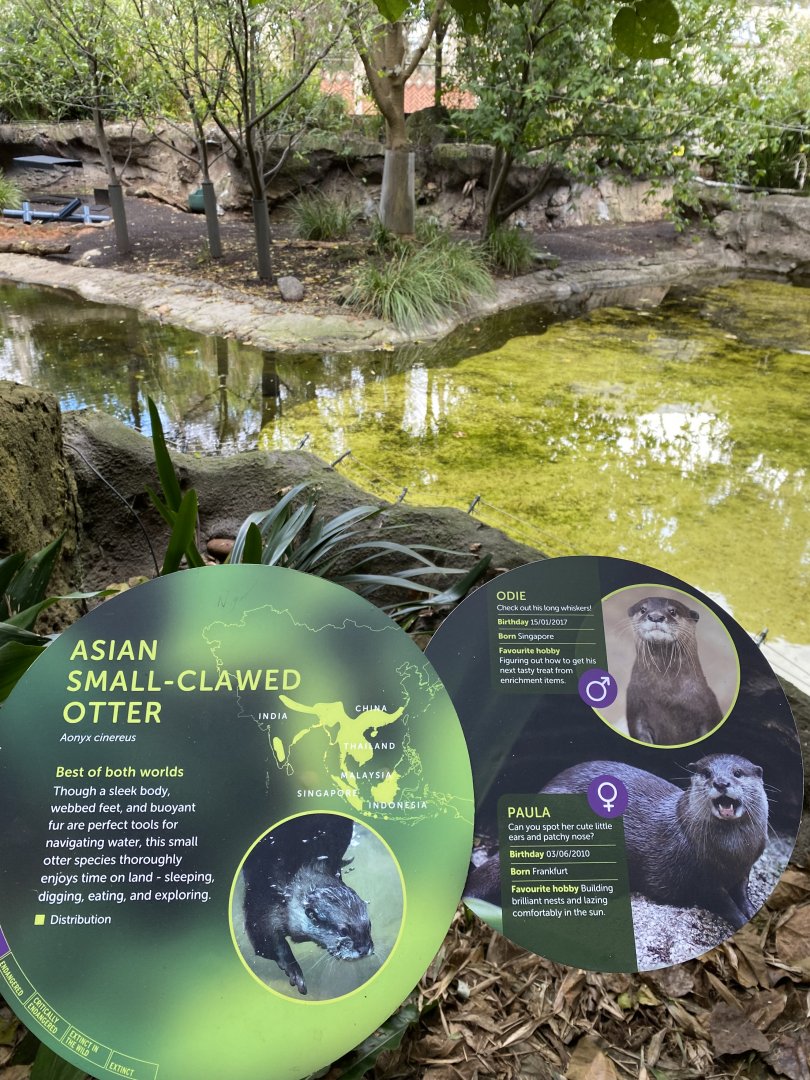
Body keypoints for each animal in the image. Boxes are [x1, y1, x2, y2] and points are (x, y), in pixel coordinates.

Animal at [241, 815, 373, 995]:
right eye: (343, 931)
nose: (364, 948)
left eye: (369, 925)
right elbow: (264, 938)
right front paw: (293, 969)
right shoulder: (263, 899)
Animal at [543, 755, 768, 928]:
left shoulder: (744, 868)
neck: (732, 854)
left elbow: (742, 891)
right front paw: (741, 920)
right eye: (706, 773)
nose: (721, 783)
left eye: (737, 773)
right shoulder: (700, 877)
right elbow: (722, 902)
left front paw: (751, 911)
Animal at [624, 596, 723, 744]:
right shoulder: (635, 706)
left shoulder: (709, 710)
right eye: (642, 609)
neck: (667, 697)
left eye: (673, 611)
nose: (655, 616)